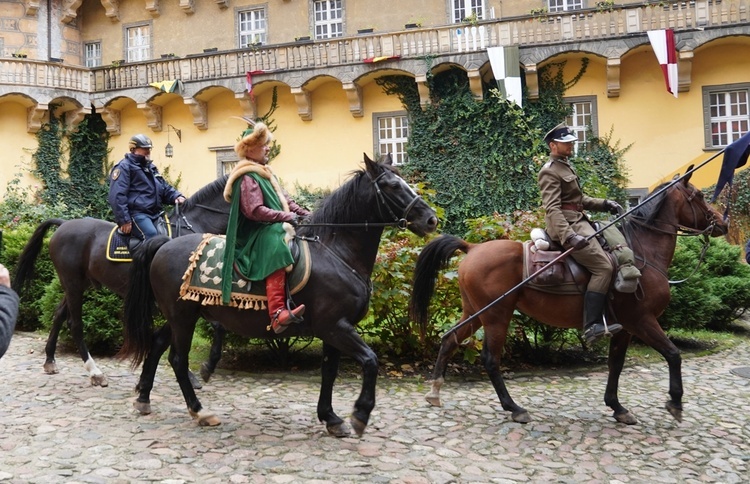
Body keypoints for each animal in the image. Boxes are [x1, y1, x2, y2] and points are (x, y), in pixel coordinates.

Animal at [12, 174, 232, 386]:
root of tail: (64, 224)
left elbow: (212, 327)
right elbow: (207, 328)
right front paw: (200, 369)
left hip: (78, 284)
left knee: (58, 315)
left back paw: (50, 360)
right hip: (73, 283)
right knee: (75, 324)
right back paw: (95, 372)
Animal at [120, 156, 440, 438]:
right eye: (392, 185)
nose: (431, 220)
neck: (335, 252)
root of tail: (163, 244)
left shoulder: (335, 330)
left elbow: (329, 372)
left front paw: (331, 417)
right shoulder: (335, 327)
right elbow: (371, 361)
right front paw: (360, 414)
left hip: (181, 316)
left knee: (159, 344)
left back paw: (145, 397)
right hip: (182, 317)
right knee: (177, 359)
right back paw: (199, 410)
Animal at [412, 170, 728, 424]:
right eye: (699, 195)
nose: (722, 223)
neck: (642, 253)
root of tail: (473, 247)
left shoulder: (624, 328)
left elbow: (616, 364)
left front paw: (617, 407)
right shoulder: (641, 320)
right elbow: (673, 355)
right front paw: (675, 402)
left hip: (475, 313)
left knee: (450, 339)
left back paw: (435, 390)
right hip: (496, 316)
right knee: (490, 358)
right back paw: (514, 408)